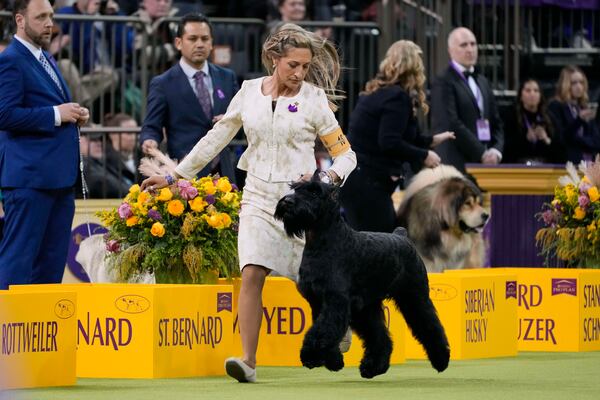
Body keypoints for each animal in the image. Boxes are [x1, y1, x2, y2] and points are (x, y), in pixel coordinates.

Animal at [274, 175, 448, 378]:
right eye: (296, 188)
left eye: (315, 192)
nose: (287, 201)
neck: (321, 242)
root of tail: (402, 236)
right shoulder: (318, 301)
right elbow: (324, 330)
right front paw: (333, 361)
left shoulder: (336, 301)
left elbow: (322, 330)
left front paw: (310, 355)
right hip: (366, 307)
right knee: (380, 337)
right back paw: (372, 367)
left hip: (414, 297)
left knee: (430, 325)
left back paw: (441, 360)